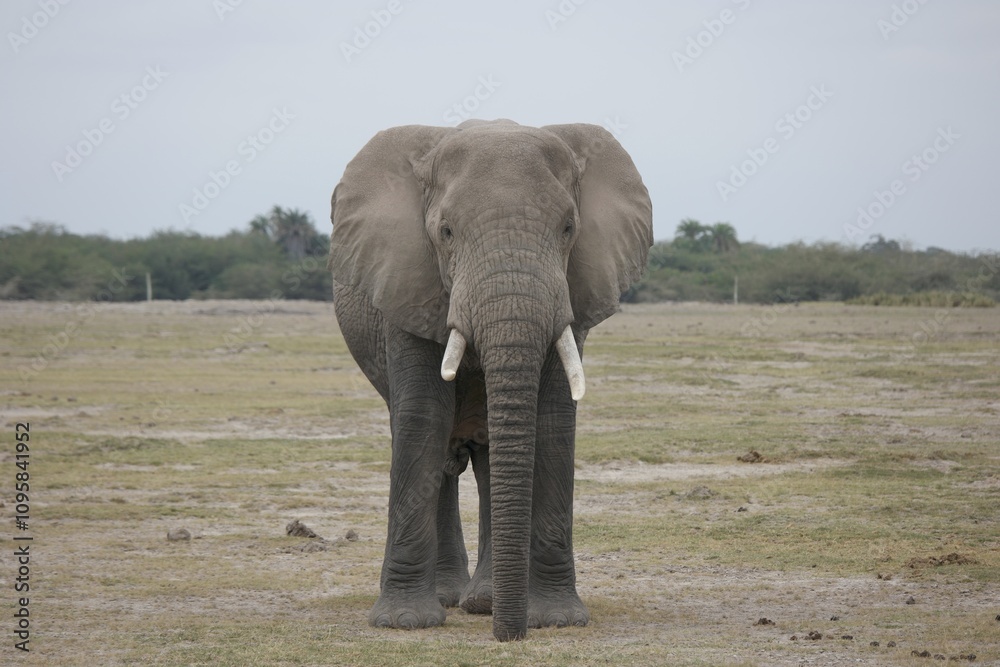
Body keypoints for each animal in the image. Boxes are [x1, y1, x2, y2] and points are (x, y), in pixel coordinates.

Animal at [328, 119, 652, 641]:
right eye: (445, 232)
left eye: (569, 229)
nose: (510, 636)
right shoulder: (407, 284)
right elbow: (423, 418)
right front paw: (403, 623)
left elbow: (553, 421)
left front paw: (556, 619)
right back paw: (449, 599)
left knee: (487, 456)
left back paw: (480, 602)